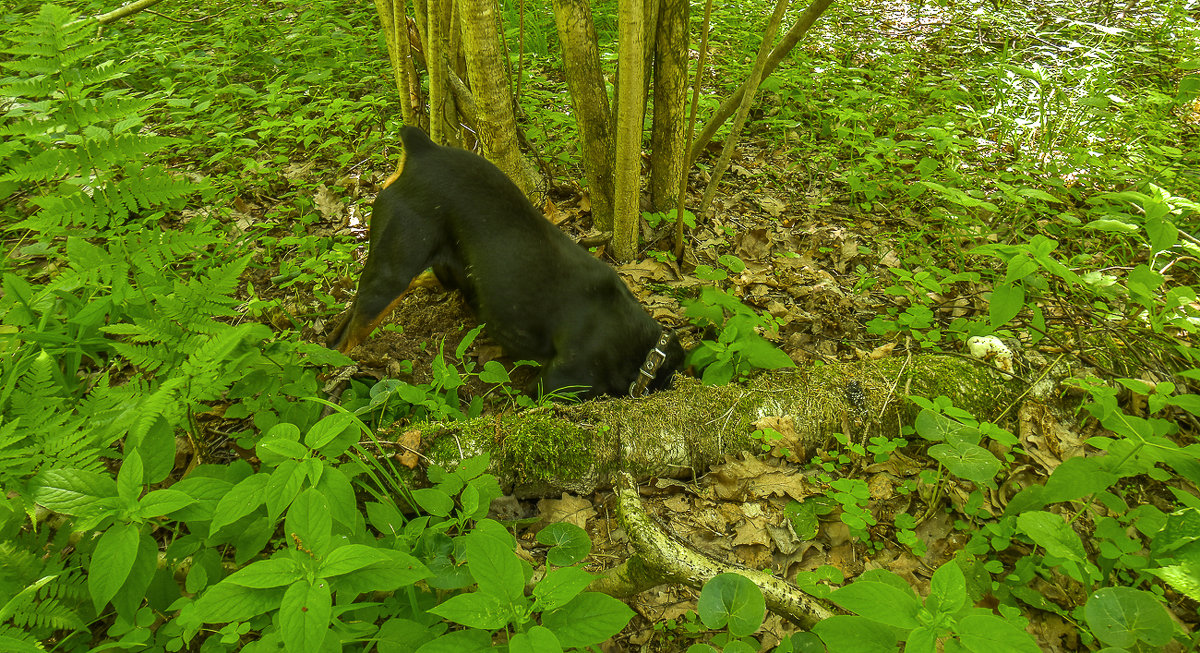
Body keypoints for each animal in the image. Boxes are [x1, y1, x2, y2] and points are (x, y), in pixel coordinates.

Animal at [326, 124, 686, 396]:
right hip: (391, 276)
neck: (646, 353)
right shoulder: (550, 387)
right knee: (344, 340)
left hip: (435, 271)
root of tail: (422, 149)